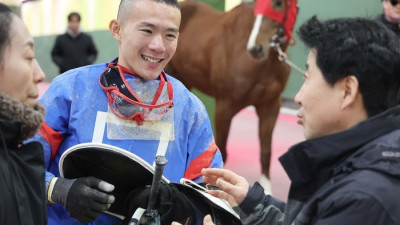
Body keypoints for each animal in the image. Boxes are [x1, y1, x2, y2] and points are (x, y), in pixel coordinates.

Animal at [164, 0, 298, 190]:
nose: (255, 48)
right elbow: (221, 151)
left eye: (278, 3)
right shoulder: (225, 105)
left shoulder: (270, 106)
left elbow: (266, 151)